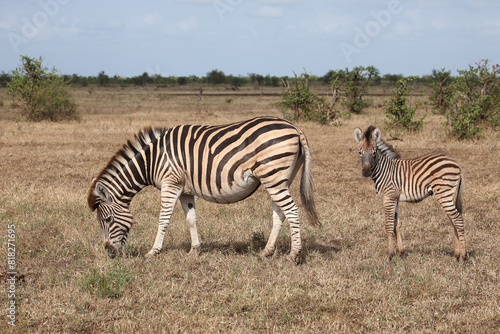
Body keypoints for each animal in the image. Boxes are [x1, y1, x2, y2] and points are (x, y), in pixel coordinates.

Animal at [87, 117, 320, 264]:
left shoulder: (171, 184)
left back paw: (293, 255)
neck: (151, 160)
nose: (109, 253)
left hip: (274, 175)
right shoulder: (185, 190)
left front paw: (152, 252)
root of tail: (294, 126)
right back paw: (266, 252)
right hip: (279, 179)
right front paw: (195, 250)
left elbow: (163, 219)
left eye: (107, 220)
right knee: (280, 214)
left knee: (292, 211)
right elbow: (191, 219)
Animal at [354, 126, 466, 262]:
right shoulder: (395, 198)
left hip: (444, 193)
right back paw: (456, 254)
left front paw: (389, 256)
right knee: (454, 220)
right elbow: (396, 224)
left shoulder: (388, 197)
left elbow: (389, 225)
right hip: (450, 195)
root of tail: (455, 162)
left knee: (458, 219)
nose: (366, 172)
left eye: (374, 153)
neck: (384, 170)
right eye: (360, 152)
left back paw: (463, 256)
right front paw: (400, 253)